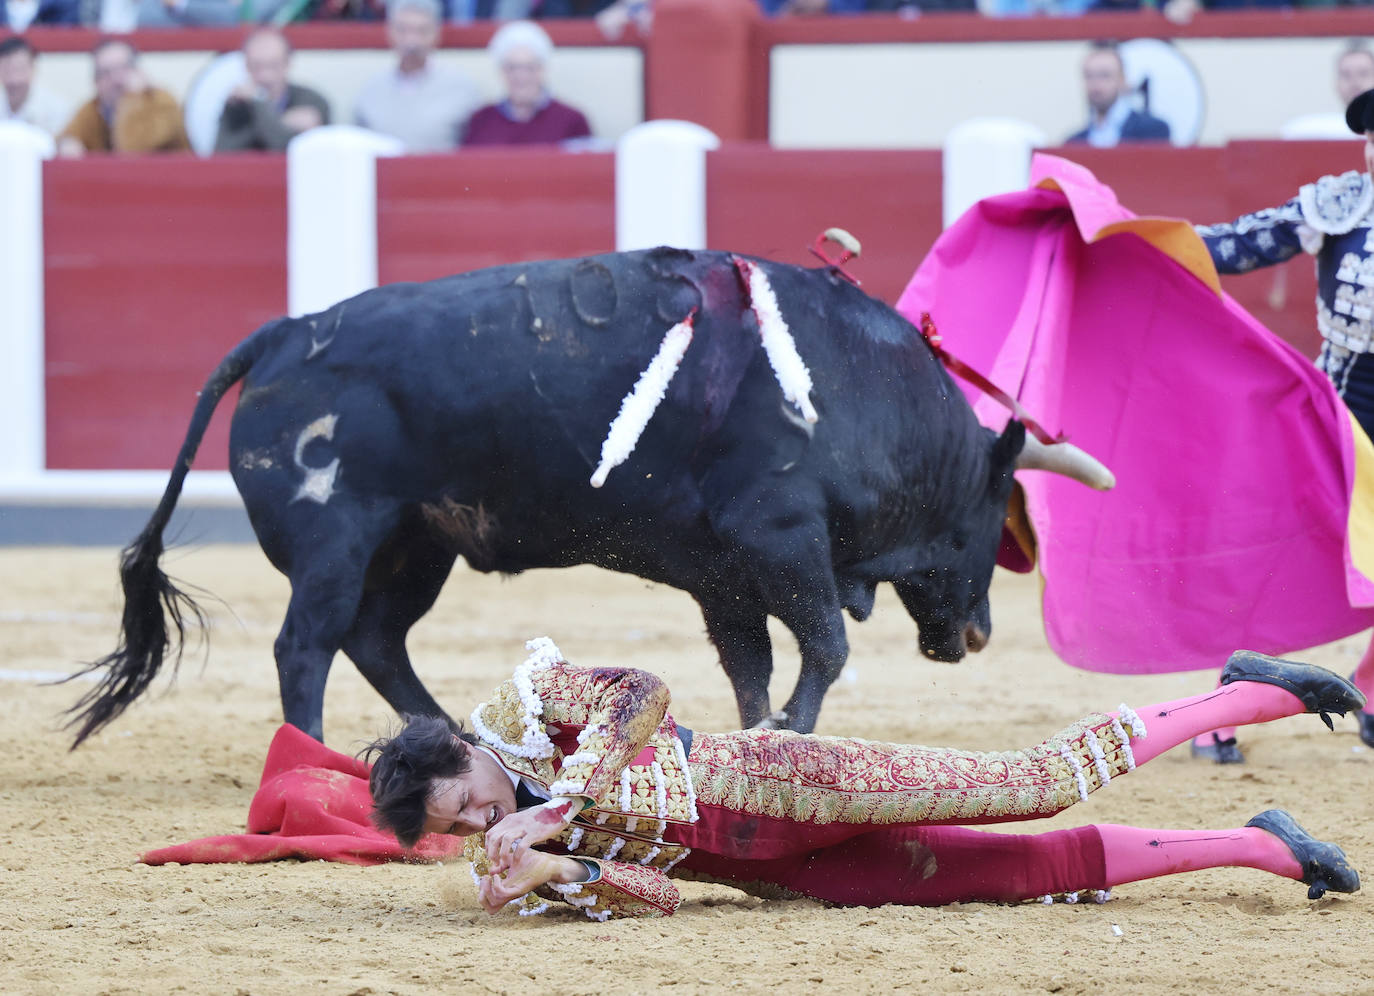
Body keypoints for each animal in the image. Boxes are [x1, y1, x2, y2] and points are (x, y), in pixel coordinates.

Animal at [69, 248, 1110, 747]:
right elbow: (825, 645)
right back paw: (311, 752)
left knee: (374, 638)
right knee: (306, 645)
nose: (977, 633)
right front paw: (794, 733)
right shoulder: (779, 537)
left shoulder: (725, 574)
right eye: (991, 517)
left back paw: (445, 732)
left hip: (416, 545)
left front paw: (753, 734)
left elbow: (752, 664)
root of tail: (286, 330)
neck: (859, 387)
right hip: (335, 542)